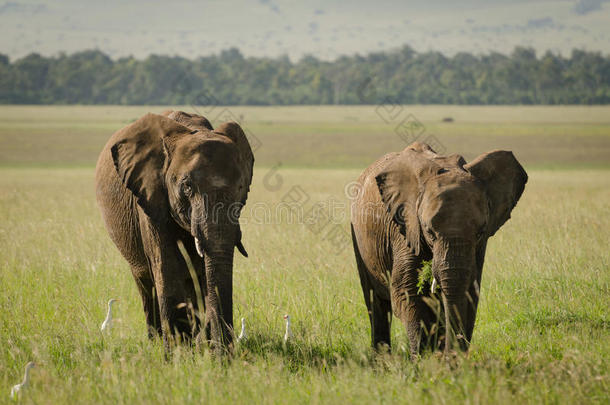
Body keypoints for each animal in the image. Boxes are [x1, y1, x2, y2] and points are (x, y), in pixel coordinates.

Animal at [96, 111, 253, 354]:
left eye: (240, 187)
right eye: (187, 187)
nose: (226, 357)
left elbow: (203, 277)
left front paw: (200, 349)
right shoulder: (150, 197)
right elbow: (167, 268)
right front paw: (179, 355)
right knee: (146, 283)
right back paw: (157, 342)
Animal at [350, 141, 524, 354]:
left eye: (480, 232)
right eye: (429, 232)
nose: (451, 354)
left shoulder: (479, 248)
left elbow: (470, 293)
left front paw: (449, 359)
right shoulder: (405, 227)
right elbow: (407, 292)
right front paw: (424, 359)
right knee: (375, 302)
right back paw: (382, 359)